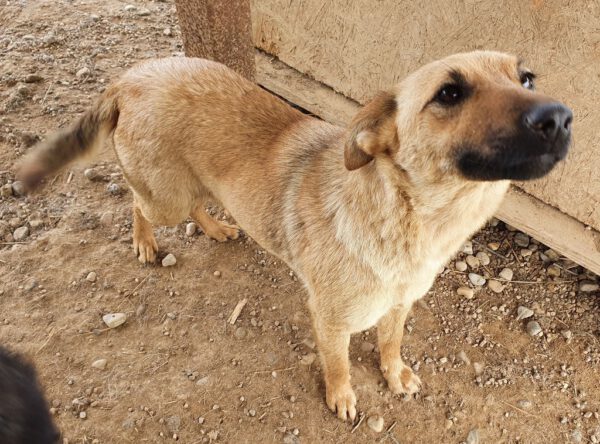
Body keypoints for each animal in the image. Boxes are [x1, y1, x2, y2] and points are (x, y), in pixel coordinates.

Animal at [17, 51, 572, 420]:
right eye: (449, 93)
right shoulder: (331, 320)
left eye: (526, 76)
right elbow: (339, 364)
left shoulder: (399, 304)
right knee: (137, 201)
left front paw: (393, 373)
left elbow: (390, 344)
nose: (561, 117)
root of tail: (131, 76)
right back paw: (145, 241)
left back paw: (216, 227)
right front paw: (342, 397)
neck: (408, 217)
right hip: (163, 196)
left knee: (197, 200)